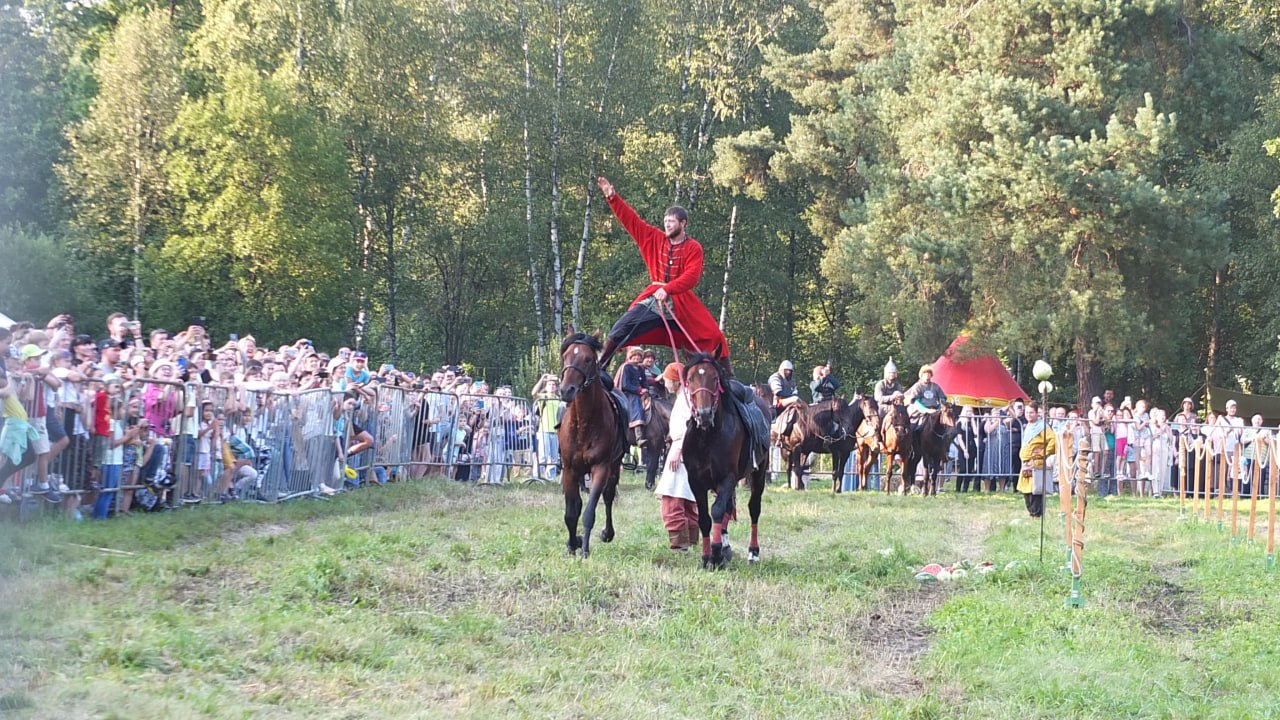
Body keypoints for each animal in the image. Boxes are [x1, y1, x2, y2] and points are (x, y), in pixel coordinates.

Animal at [558, 330, 627, 556]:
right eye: (566, 356)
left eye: (588, 359)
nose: (567, 390)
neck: (584, 423)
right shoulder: (569, 469)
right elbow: (572, 512)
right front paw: (573, 544)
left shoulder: (601, 467)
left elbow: (589, 511)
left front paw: (584, 549)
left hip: (614, 465)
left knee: (608, 495)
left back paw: (608, 533)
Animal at [680, 351, 768, 566]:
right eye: (690, 379)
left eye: (715, 378)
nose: (704, 414)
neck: (708, 438)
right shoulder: (696, 481)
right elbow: (704, 517)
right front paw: (706, 557)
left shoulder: (727, 478)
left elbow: (717, 510)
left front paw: (717, 553)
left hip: (760, 471)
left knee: (754, 507)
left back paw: (753, 552)